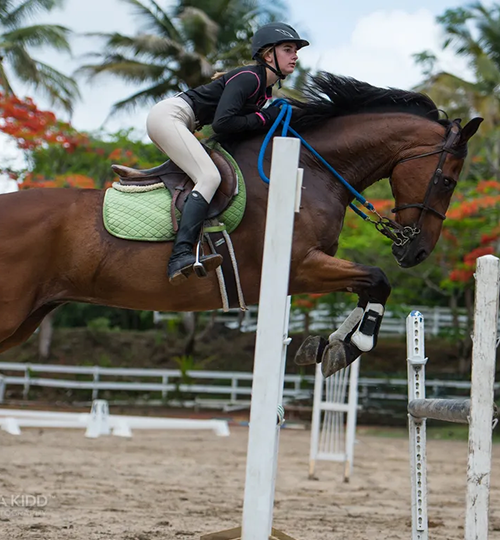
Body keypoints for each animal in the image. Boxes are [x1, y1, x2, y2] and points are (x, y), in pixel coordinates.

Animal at [0, 71, 480, 378]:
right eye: (448, 180)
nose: (416, 251)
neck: (312, 168)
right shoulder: (299, 267)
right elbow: (378, 279)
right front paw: (351, 346)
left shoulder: (311, 268)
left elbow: (368, 288)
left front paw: (331, 344)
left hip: (26, 319)